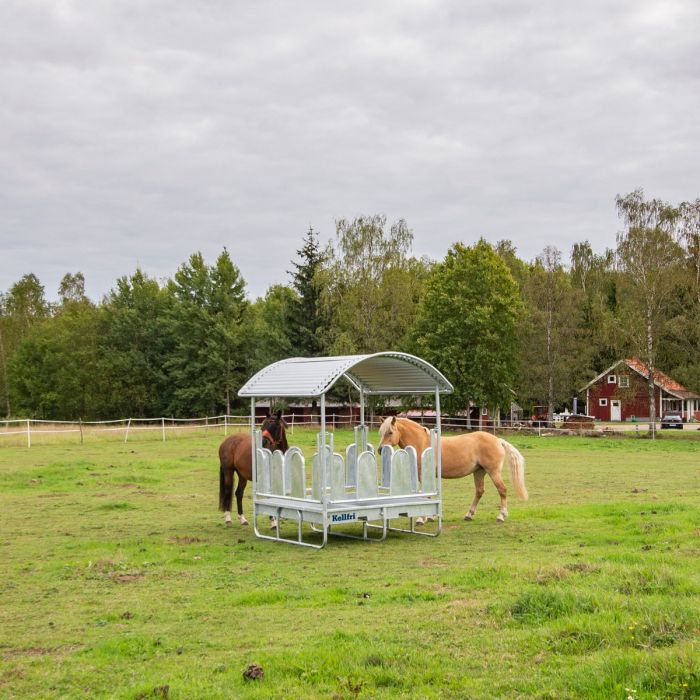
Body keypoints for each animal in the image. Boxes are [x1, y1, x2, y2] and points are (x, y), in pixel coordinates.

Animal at [380, 416, 528, 520]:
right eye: (381, 432)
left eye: (390, 432)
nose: (380, 450)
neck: (422, 444)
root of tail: (498, 440)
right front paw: (431, 517)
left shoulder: (424, 476)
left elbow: (427, 496)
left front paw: (422, 519)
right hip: (479, 472)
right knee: (479, 491)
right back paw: (469, 514)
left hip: (493, 472)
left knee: (502, 490)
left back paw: (501, 516)